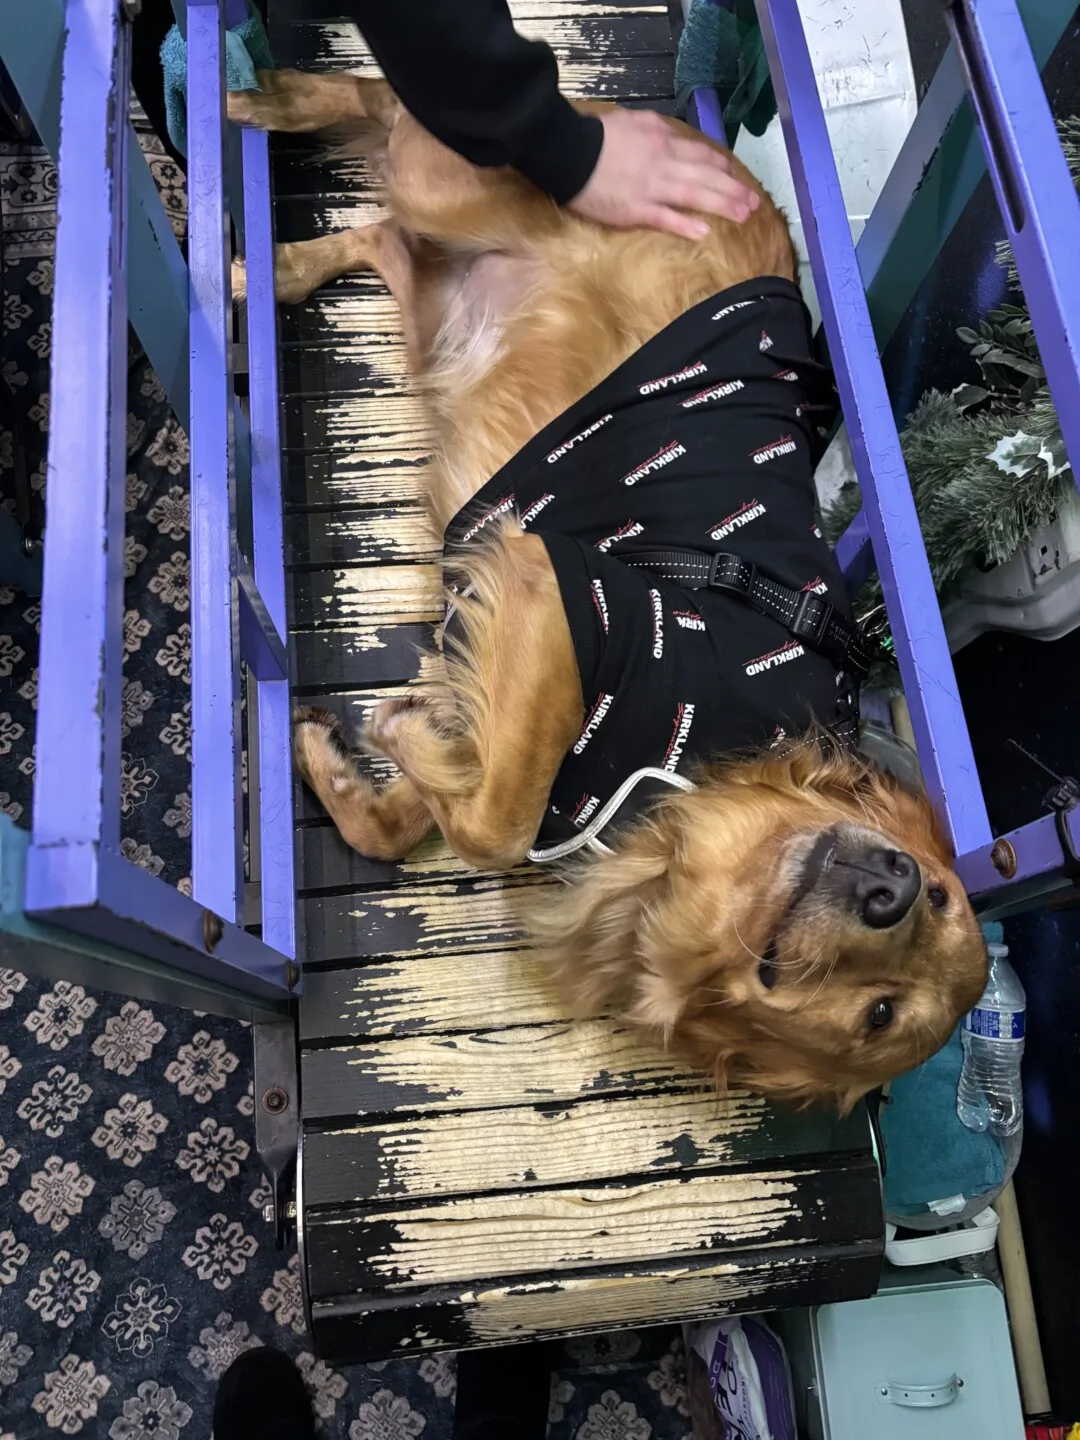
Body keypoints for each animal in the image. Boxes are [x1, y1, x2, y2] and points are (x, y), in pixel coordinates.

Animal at [230, 70, 988, 1111]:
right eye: (940, 893)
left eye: (881, 1015)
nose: (894, 884)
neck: (683, 779)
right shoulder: (567, 597)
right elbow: (496, 826)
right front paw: (395, 741)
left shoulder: (508, 661)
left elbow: (429, 817)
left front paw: (352, 762)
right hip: (467, 182)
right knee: (383, 105)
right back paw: (262, 107)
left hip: (437, 293)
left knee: (384, 228)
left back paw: (271, 265)